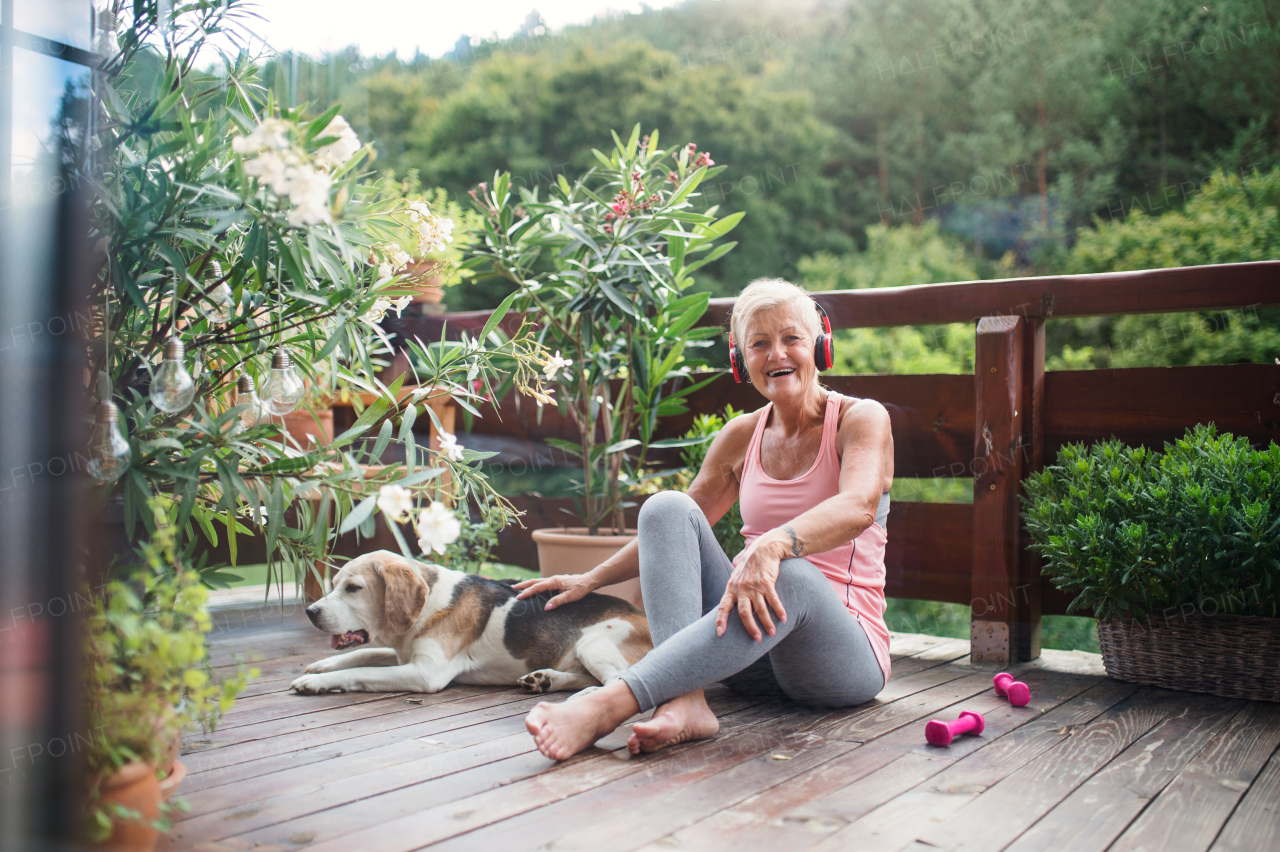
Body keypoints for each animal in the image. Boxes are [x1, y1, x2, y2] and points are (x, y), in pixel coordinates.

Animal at [290, 547, 650, 695]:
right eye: (334, 585)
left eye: (353, 588)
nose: (310, 612)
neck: (427, 605)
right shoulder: (404, 654)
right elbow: (366, 653)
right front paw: (321, 666)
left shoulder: (425, 673)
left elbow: (361, 671)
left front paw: (317, 682)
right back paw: (545, 680)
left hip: (595, 643)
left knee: (617, 681)